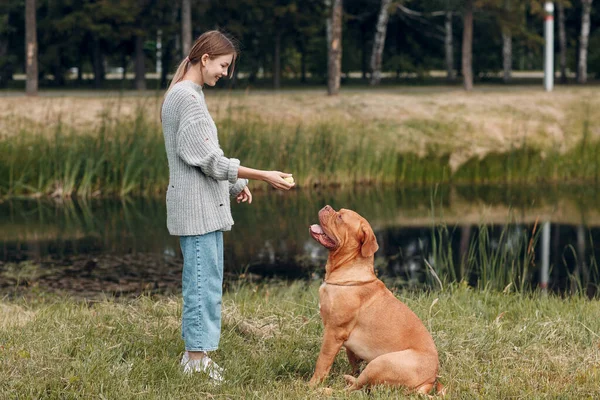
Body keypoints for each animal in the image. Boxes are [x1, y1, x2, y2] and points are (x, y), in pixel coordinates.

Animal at [310, 206, 440, 394]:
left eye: (340, 217)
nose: (327, 207)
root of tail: (429, 382)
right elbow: (353, 361)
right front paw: (351, 371)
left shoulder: (334, 332)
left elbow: (322, 361)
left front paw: (312, 384)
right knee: (358, 383)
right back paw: (348, 378)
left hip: (380, 363)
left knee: (354, 389)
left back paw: (327, 390)